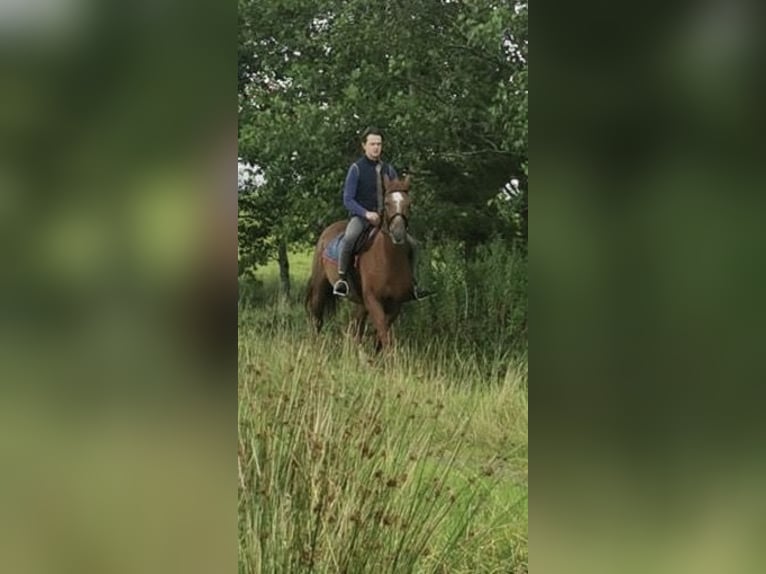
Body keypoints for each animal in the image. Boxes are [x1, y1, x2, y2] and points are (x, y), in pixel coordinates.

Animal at [304, 176, 414, 354]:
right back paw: (315, 348)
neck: (388, 260)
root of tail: (326, 232)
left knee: (355, 326)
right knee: (317, 318)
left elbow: (381, 333)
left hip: (360, 303)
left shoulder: (395, 304)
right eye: (387, 203)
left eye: (409, 204)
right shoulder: (372, 300)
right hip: (320, 287)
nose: (398, 233)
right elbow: (383, 333)